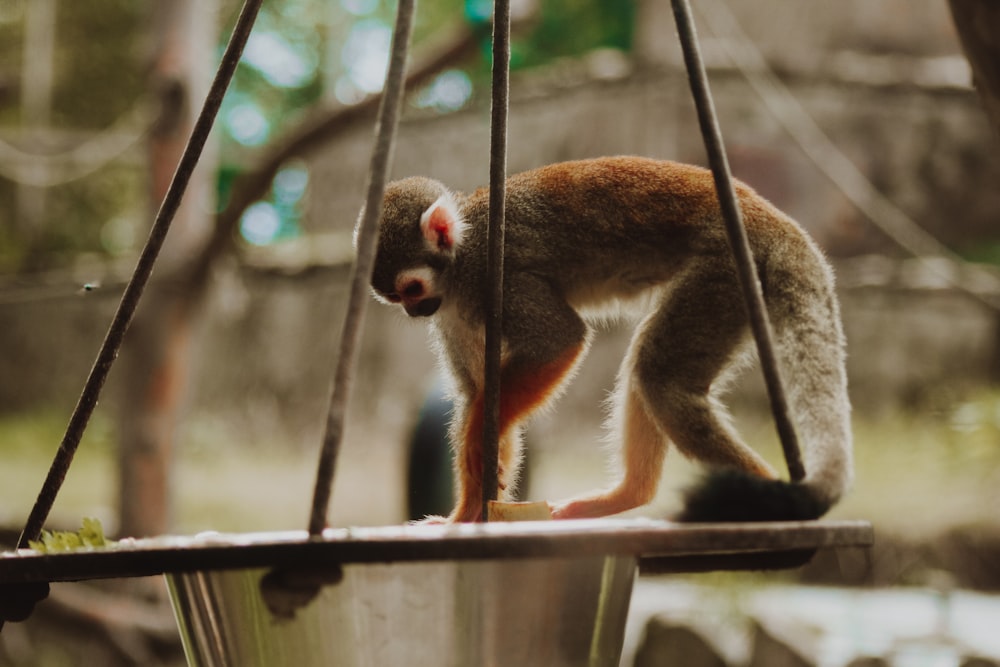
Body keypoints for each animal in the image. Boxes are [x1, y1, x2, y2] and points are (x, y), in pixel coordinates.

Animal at [366, 155, 852, 520]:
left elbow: (559, 340)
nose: (413, 311)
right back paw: (628, 496)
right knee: (650, 369)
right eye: (394, 297)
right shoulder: (451, 312)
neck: (460, 257)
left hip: (727, 268)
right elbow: (477, 393)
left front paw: (480, 439)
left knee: (658, 373)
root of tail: (771, 218)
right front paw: (469, 511)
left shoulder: (491, 276)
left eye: (412, 289)